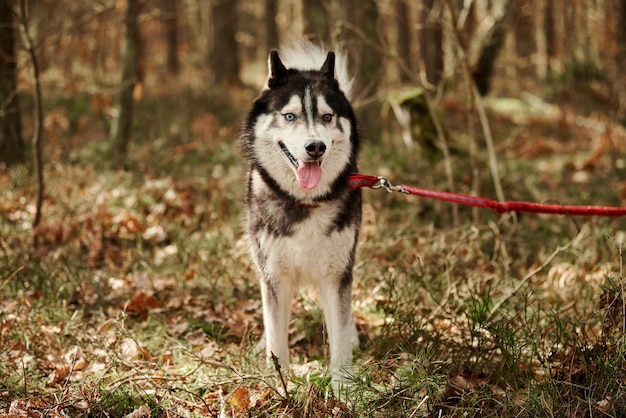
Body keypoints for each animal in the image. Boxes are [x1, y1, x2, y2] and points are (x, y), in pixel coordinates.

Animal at [239, 43, 360, 392]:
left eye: (327, 117)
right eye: (289, 116)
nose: (315, 147)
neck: (305, 202)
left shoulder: (337, 273)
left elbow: (339, 339)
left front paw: (345, 390)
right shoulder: (274, 275)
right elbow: (277, 337)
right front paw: (279, 383)